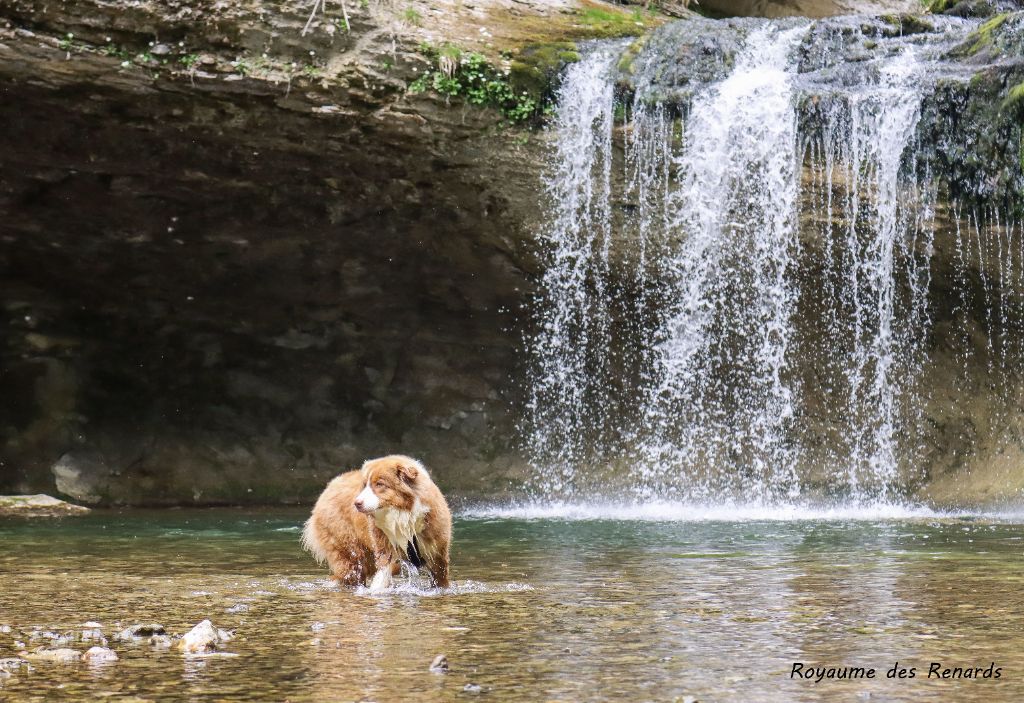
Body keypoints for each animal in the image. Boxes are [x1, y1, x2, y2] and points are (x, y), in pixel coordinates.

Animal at [299, 456, 452, 589]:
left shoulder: (436, 546)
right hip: (346, 543)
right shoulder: (382, 540)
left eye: (379, 484)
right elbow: (383, 571)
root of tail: (329, 486)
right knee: (351, 570)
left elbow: (440, 575)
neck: (402, 516)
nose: (357, 503)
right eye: (364, 485)